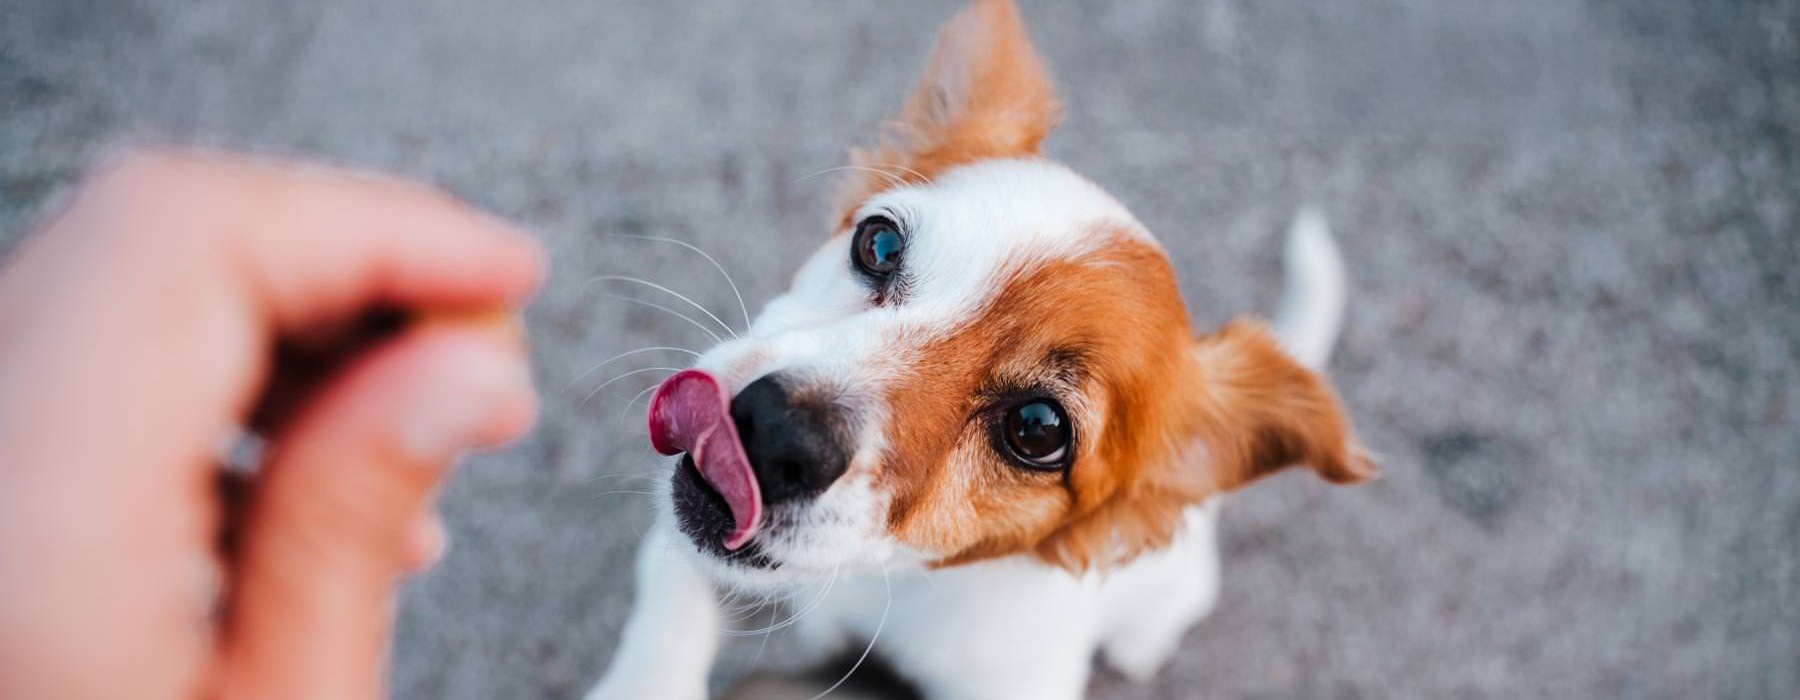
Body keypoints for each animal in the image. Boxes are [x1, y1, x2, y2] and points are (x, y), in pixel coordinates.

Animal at [583, 2, 1368, 694]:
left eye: (1038, 430)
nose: (775, 431)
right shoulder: (687, 552)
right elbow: (670, 614)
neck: (878, 582)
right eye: (878, 243)